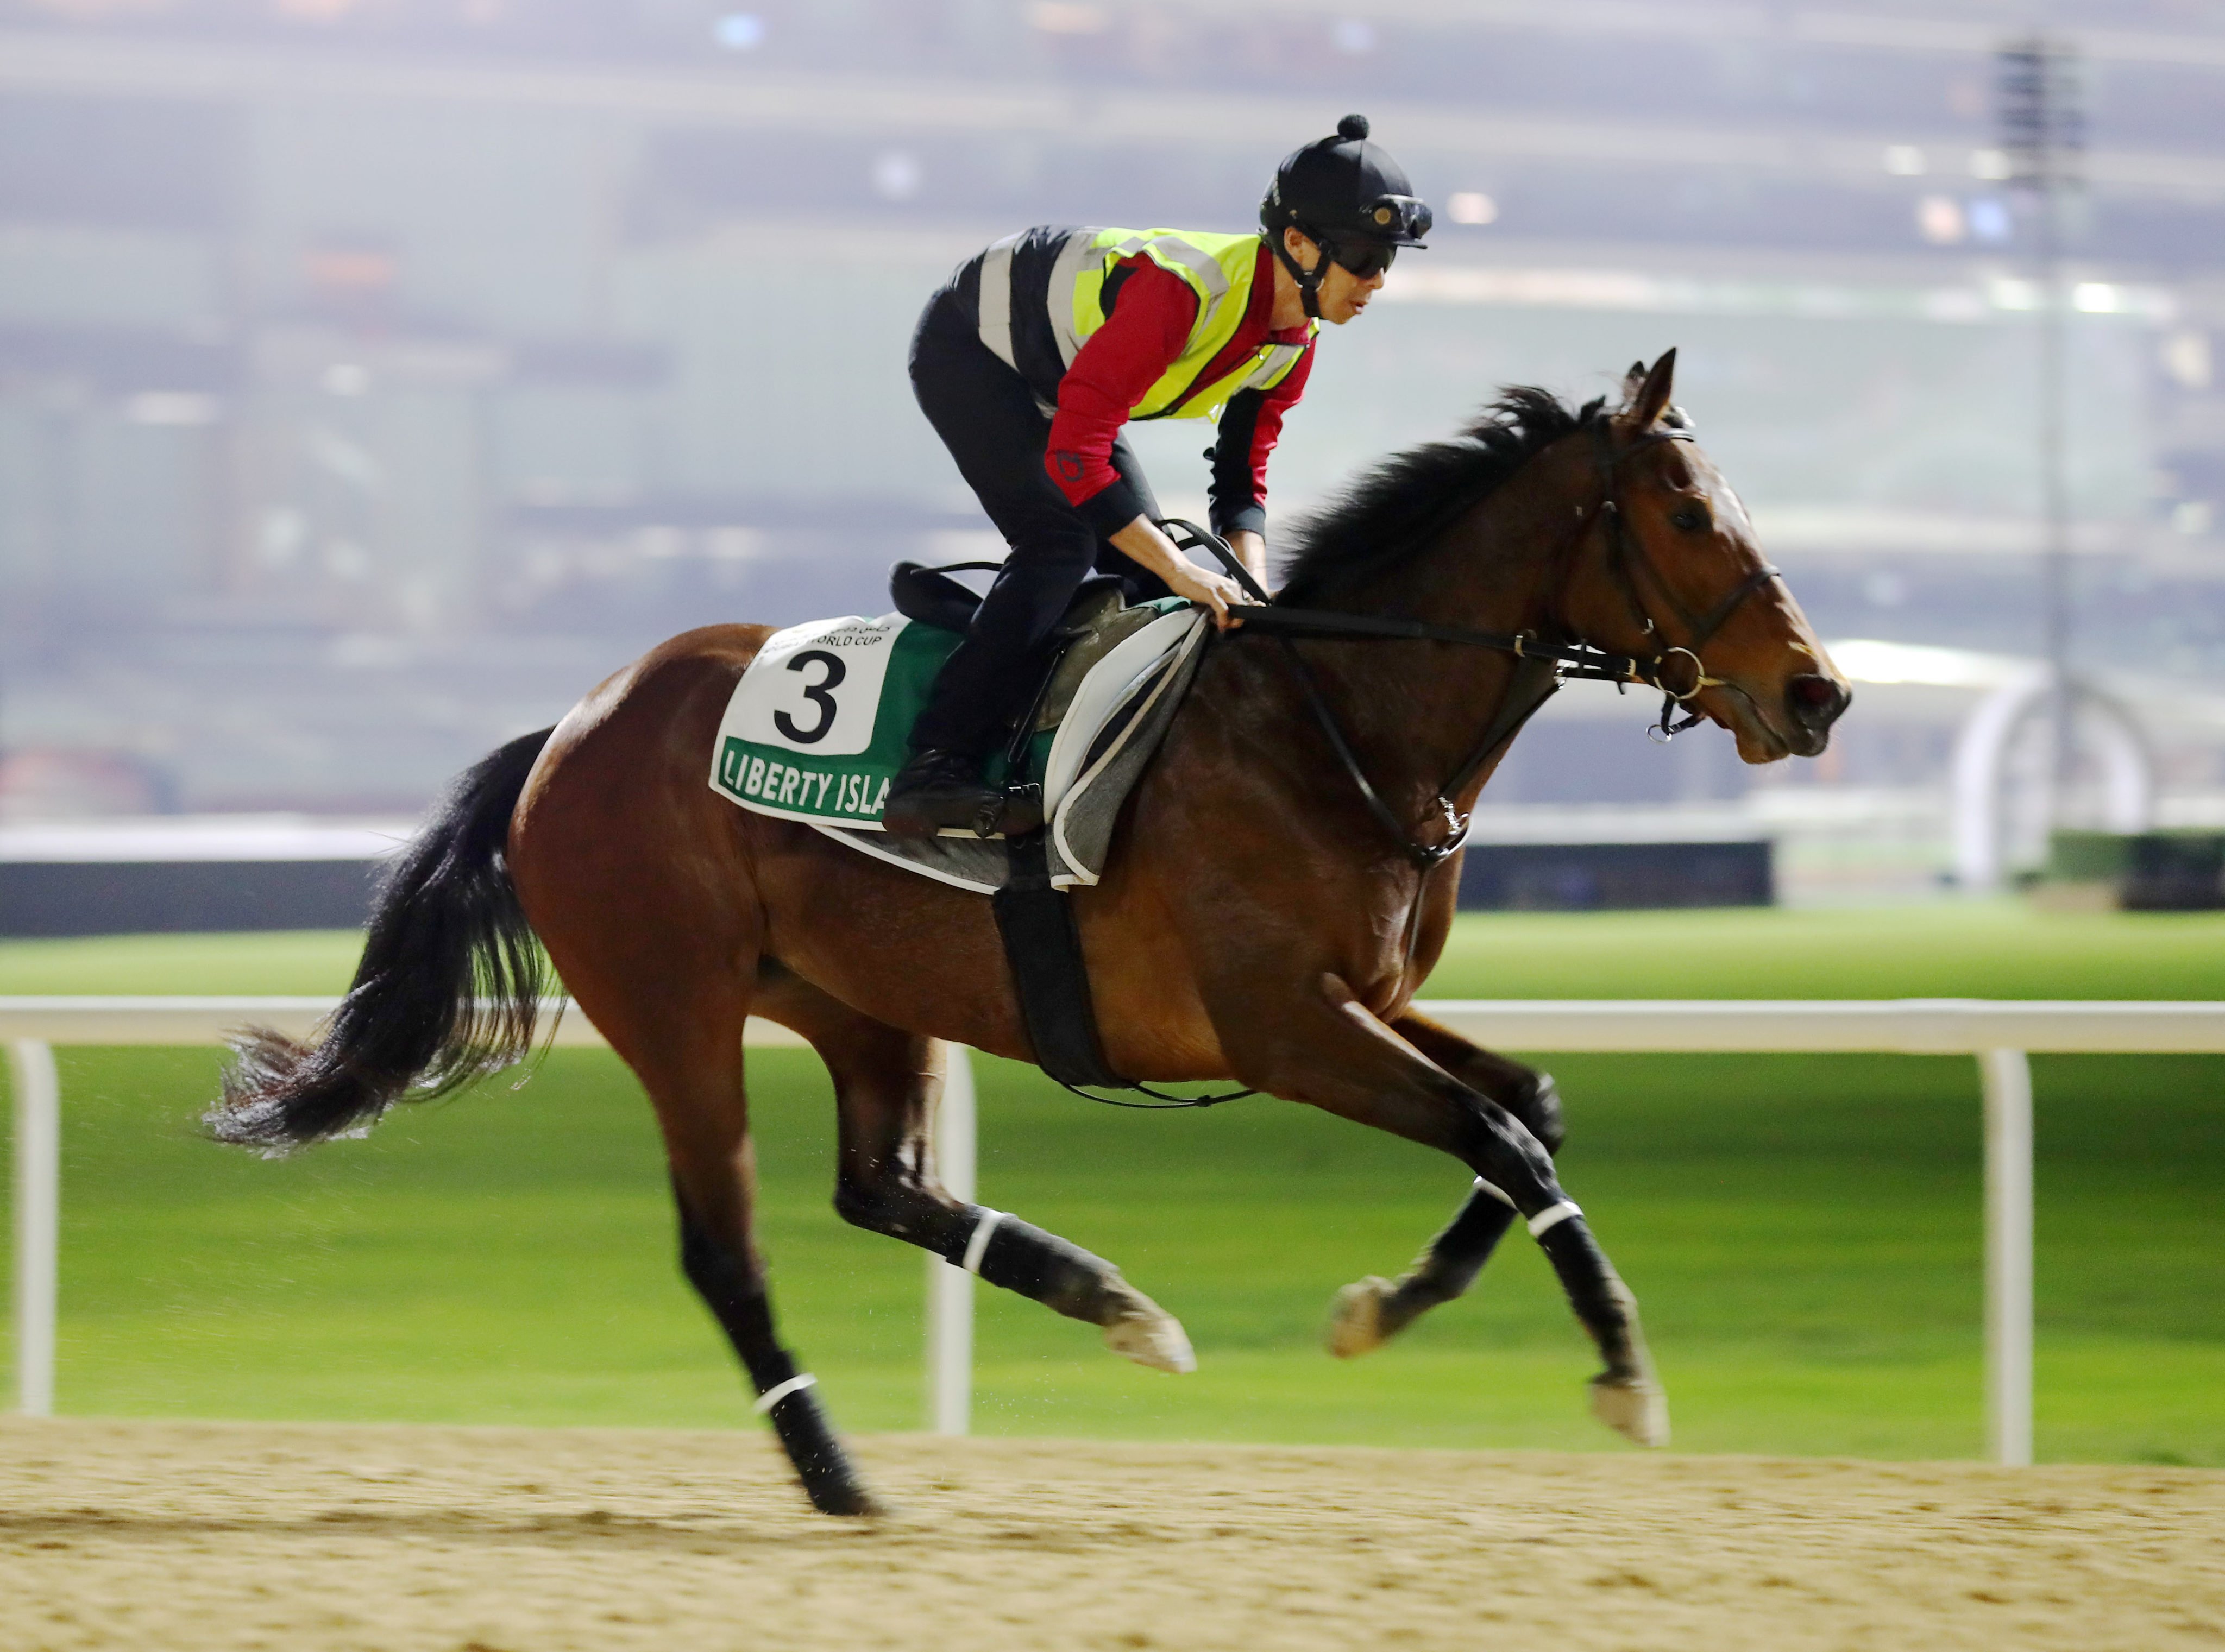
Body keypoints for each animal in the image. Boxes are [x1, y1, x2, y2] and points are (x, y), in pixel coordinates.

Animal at [209, 349, 1842, 1512]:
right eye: (1689, 515)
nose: (1818, 692)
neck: (1335, 723)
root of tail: (570, 726)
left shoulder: (1363, 998)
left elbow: (1531, 1112)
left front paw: (1385, 1306)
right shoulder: (1284, 1022)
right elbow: (1501, 1139)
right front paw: (1623, 1374)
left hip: (858, 996)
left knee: (881, 1186)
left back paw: (1112, 1301)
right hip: (673, 1007)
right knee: (727, 1247)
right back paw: (835, 1470)